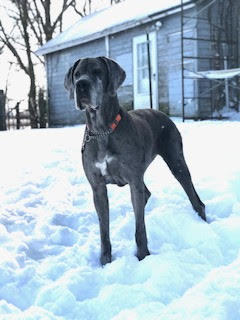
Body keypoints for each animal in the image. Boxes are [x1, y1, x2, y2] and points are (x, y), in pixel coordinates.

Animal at [64, 57, 206, 264]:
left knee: (195, 199)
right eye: (77, 74)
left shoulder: (133, 180)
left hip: (176, 162)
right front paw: (105, 261)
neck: (102, 130)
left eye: (97, 71)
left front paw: (143, 256)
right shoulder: (98, 188)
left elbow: (140, 228)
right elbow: (104, 230)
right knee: (146, 194)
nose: (81, 85)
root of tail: (163, 114)